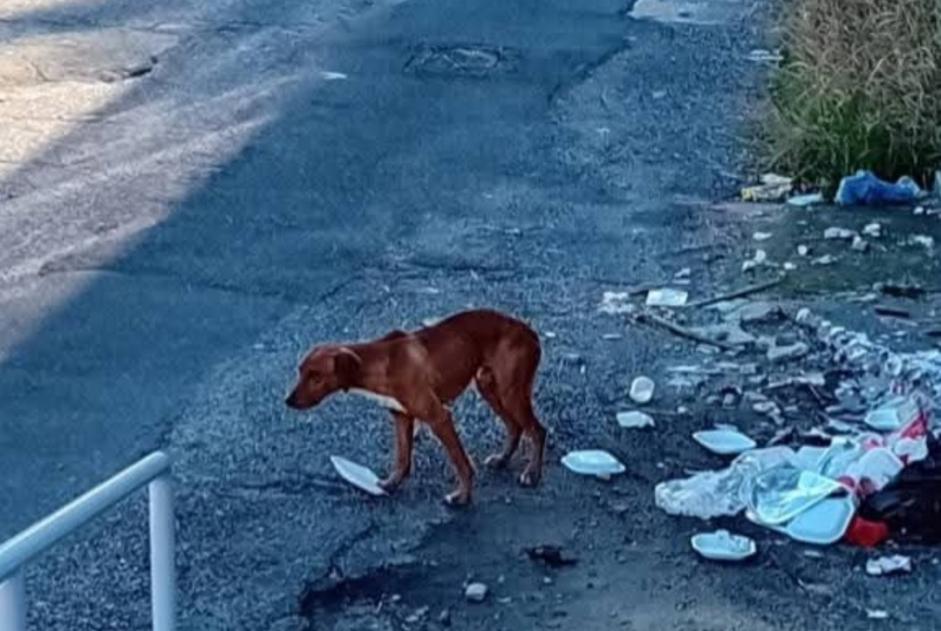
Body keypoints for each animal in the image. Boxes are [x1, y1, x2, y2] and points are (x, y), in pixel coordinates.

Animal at [290, 308, 548, 506]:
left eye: (316, 377)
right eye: (300, 371)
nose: (288, 401)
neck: (383, 362)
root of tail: (530, 332)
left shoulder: (439, 417)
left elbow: (461, 463)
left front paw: (462, 497)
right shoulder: (402, 416)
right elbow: (403, 458)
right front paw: (391, 485)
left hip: (510, 392)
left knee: (537, 430)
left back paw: (532, 474)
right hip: (489, 387)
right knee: (515, 426)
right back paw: (503, 459)